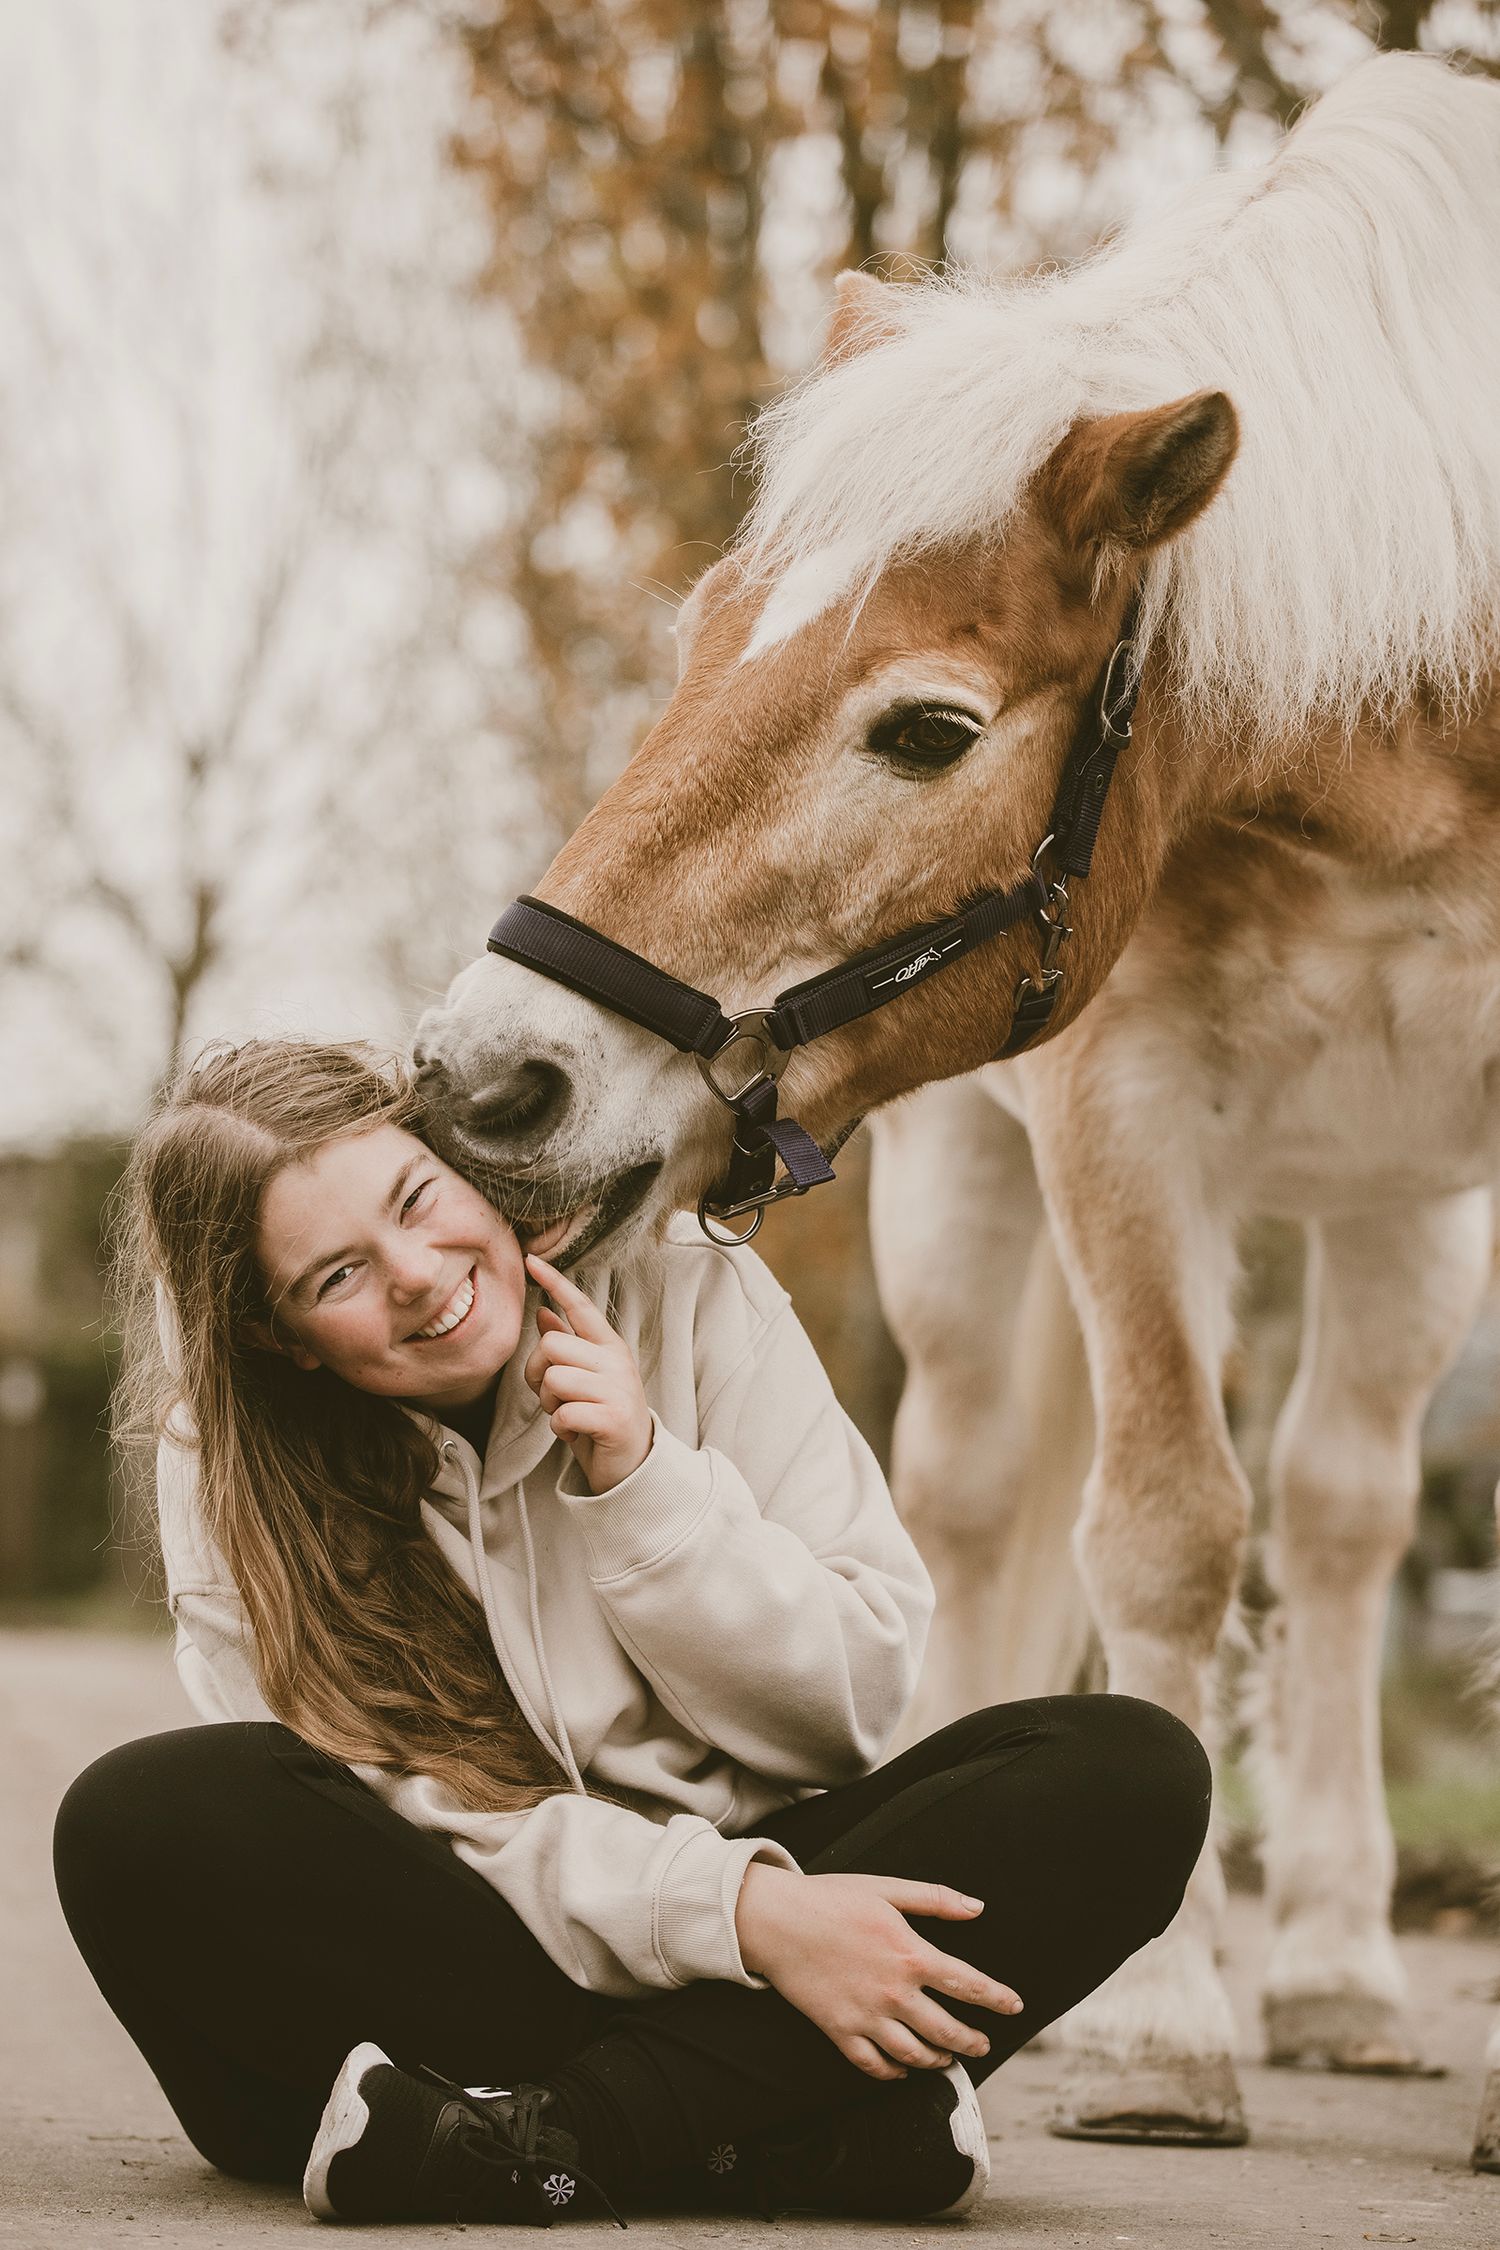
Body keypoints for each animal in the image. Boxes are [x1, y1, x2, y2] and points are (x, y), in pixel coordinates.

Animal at [414, 55, 1500, 2168]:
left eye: (926, 729)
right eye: (695, 641)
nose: (489, 1075)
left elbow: (1256, 1532)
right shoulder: (1116, 1116)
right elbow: (1160, 1528)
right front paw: (1160, 2032)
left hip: (1401, 1201)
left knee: (1340, 1523)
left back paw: (1341, 1972)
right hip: (979, 1210)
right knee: (986, 1495)